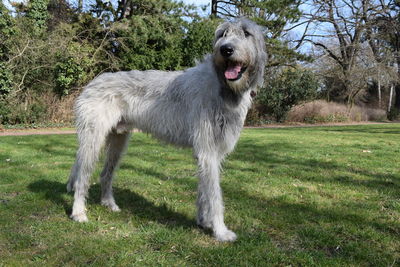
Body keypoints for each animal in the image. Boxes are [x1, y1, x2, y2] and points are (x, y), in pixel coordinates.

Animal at [66, 17, 266, 242]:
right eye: (222, 34)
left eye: (247, 33)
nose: (226, 49)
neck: (222, 86)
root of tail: (91, 83)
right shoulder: (207, 149)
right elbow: (214, 194)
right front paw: (221, 231)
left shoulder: (211, 152)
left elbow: (204, 190)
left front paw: (204, 222)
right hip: (93, 138)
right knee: (83, 176)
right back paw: (79, 212)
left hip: (118, 140)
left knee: (105, 173)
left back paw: (109, 203)